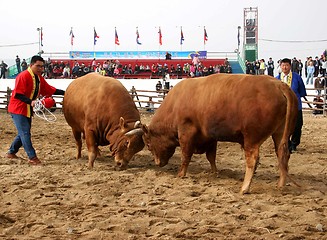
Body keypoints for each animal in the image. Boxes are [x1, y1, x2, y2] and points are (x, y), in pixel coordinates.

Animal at [142, 74, 298, 194]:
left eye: (148, 144)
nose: (157, 163)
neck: (175, 104)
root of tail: (278, 84)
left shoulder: (186, 133)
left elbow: (185, 156)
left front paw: (181, 174)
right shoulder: (209, 137)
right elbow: (211, 156)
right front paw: (214, 172)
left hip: (251, 139)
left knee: (253, 160)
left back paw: (245, 188)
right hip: (279, 134)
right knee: (283, 155)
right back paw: (281, 184)